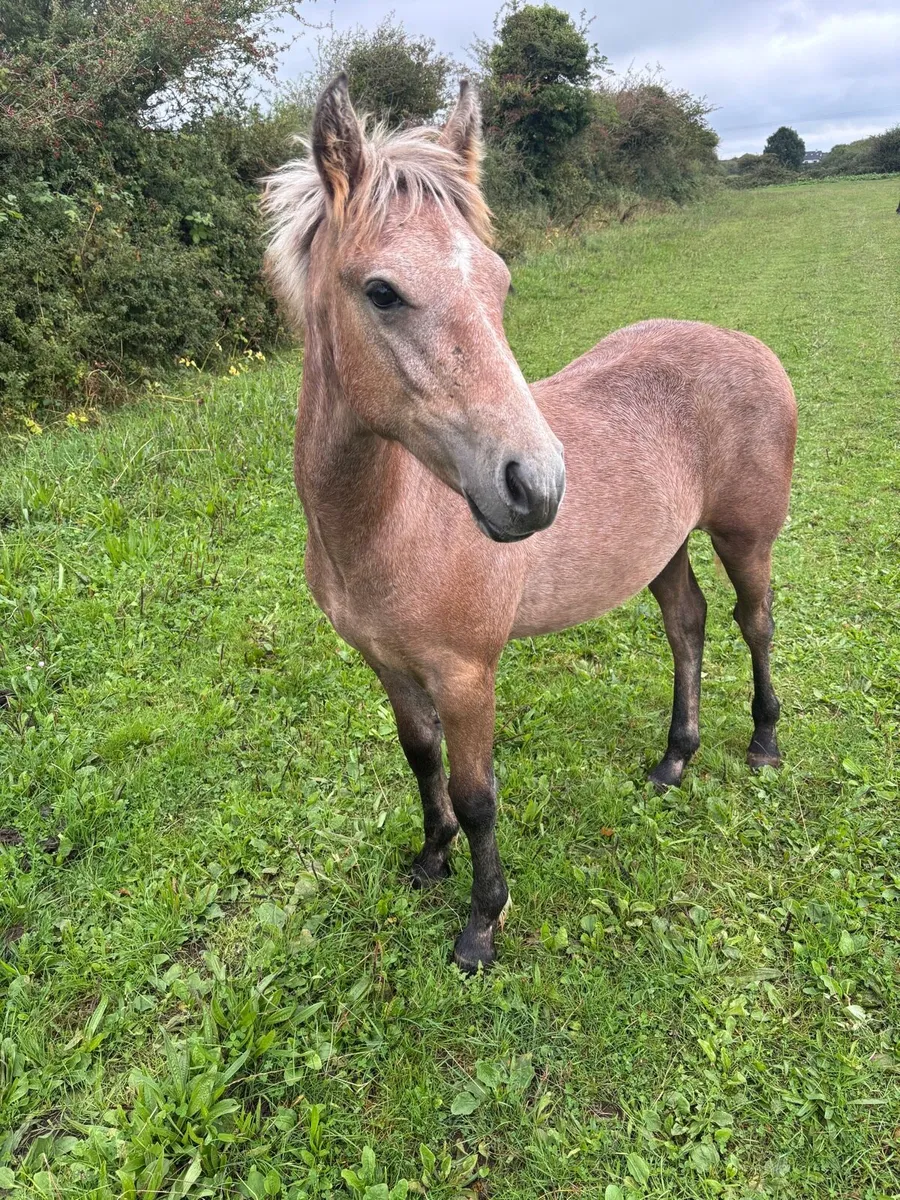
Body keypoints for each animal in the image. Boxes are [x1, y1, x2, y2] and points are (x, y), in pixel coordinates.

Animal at [262, 76, 797, 972]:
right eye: (381, 291)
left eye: (501, 285)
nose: (537, 487)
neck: (390, 527)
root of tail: (750, 345)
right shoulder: (388, 665)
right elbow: (420, 759)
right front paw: (430, 859)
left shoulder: (467, 673)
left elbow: (478, 793)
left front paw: (482, 922)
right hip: (662, 550)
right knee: (687, 626)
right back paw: (673, 760)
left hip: (743, 537)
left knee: (752, 622)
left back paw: (762, 743)